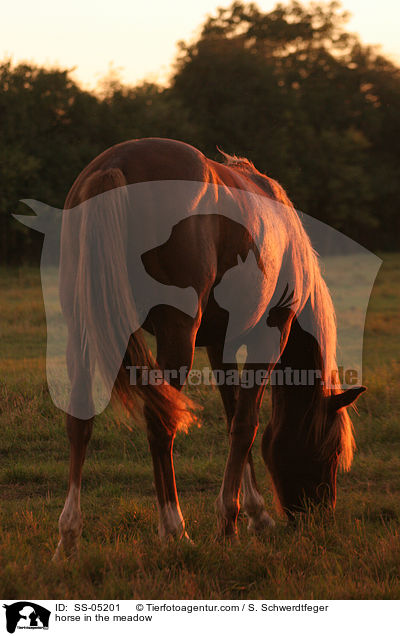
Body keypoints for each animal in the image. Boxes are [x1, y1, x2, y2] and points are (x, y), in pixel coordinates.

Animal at [52, 137, 366, 560]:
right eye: (331, 451)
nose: (319, 518)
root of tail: (115, 164)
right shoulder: (269, 335)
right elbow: (246, 424)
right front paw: (229, 522)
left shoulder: (221, 343)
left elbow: (234, 416)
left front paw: (254, 514)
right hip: (176, 333)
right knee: (161, 424)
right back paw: (174, 529)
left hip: (81, 326)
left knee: (79, 422)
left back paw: (68, 538)